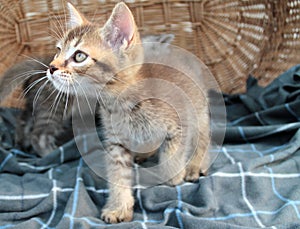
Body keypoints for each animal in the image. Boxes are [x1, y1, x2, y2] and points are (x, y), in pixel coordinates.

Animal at [43, 2, 211, 224]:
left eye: (79, 56)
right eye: (58, 50)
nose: (51, 67)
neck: (121, 103)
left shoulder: (180, 123)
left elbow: (172, 156)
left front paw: (173, 177)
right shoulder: (116, 143)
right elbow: (118, 175)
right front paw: (119, 207)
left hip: (199, 111)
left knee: (204, 138)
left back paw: (195, 165)